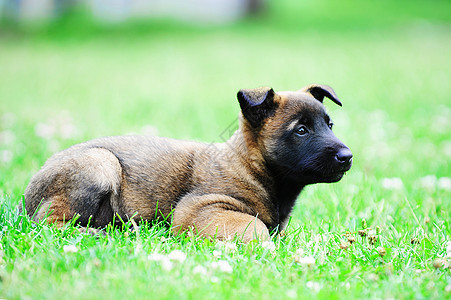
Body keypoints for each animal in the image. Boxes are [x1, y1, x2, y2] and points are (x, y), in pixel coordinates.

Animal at [21, 84, 354, 241]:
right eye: (301, 130)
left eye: (329, 125)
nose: (347, 157)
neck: (251, 166)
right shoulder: (201, 208)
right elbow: (254, 226)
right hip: (100, 162)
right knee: (48, 223)